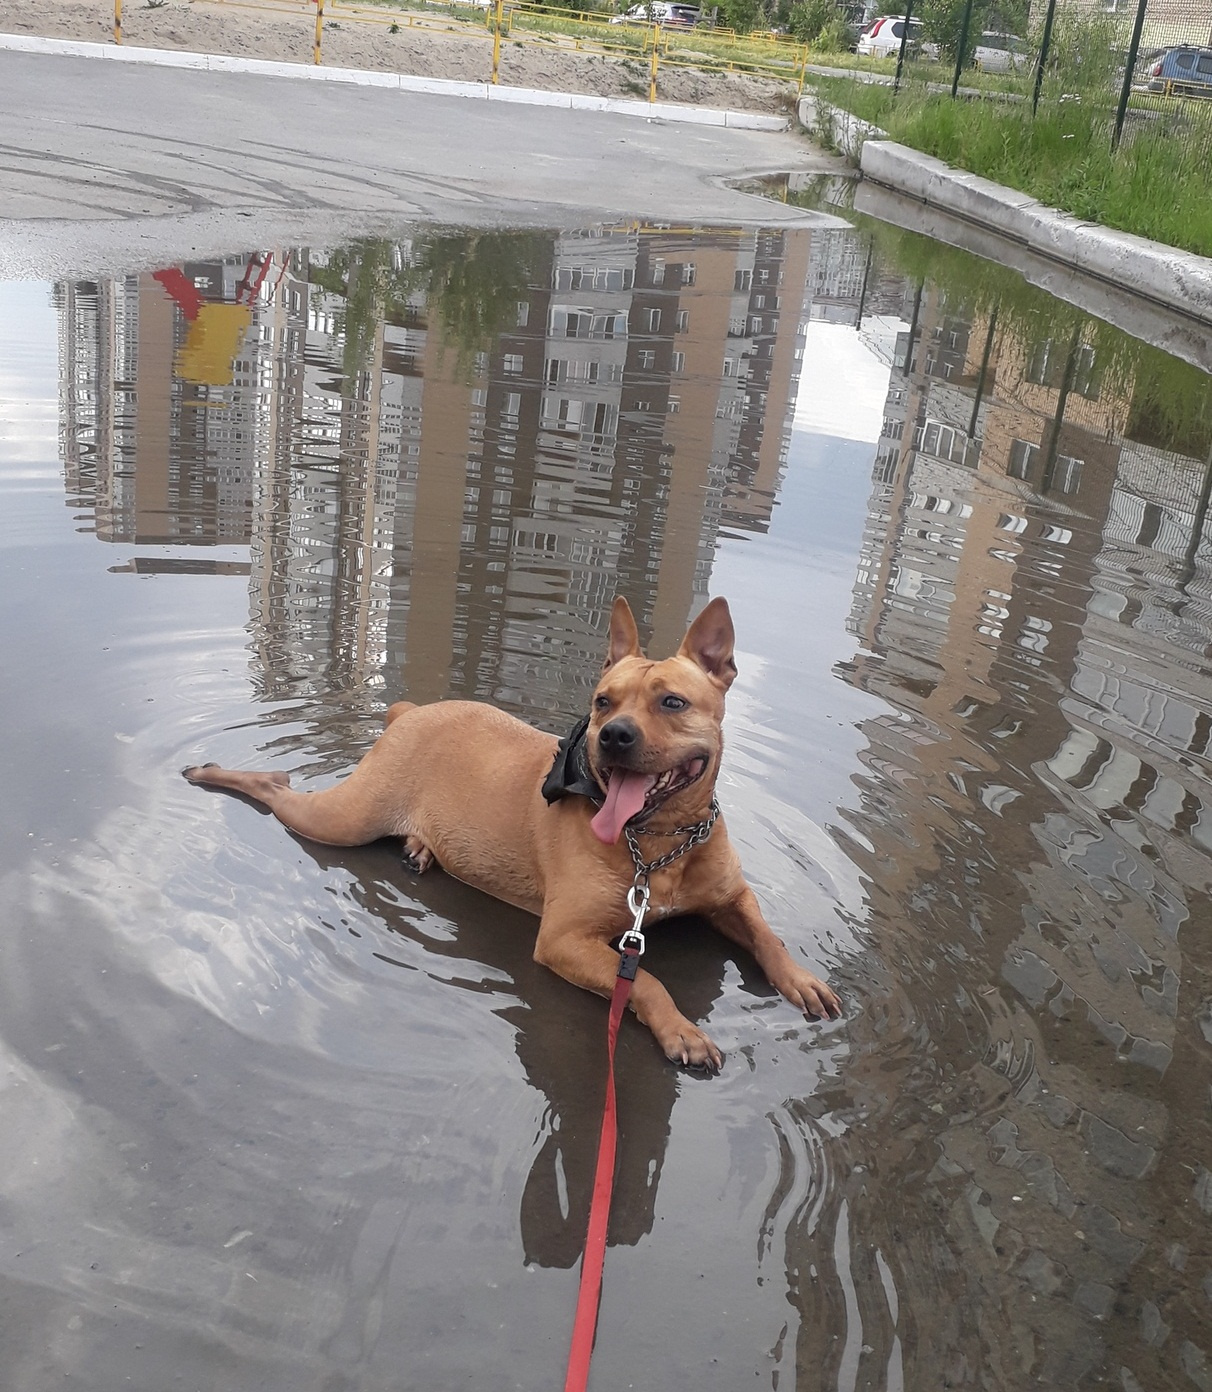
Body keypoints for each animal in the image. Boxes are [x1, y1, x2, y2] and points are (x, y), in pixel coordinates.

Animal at [182, 595, 846, 1063]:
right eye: (603, 702)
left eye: (673, 703)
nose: (614, 736)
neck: (658, 845)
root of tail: (411, 711)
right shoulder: (566, 941)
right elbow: (649, 982)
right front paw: (682, 1030)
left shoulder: (732, 898)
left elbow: (767, 935)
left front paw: (801, 980)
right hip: (341, 819)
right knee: (277, 791)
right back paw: (214, 773)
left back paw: (422, 849)